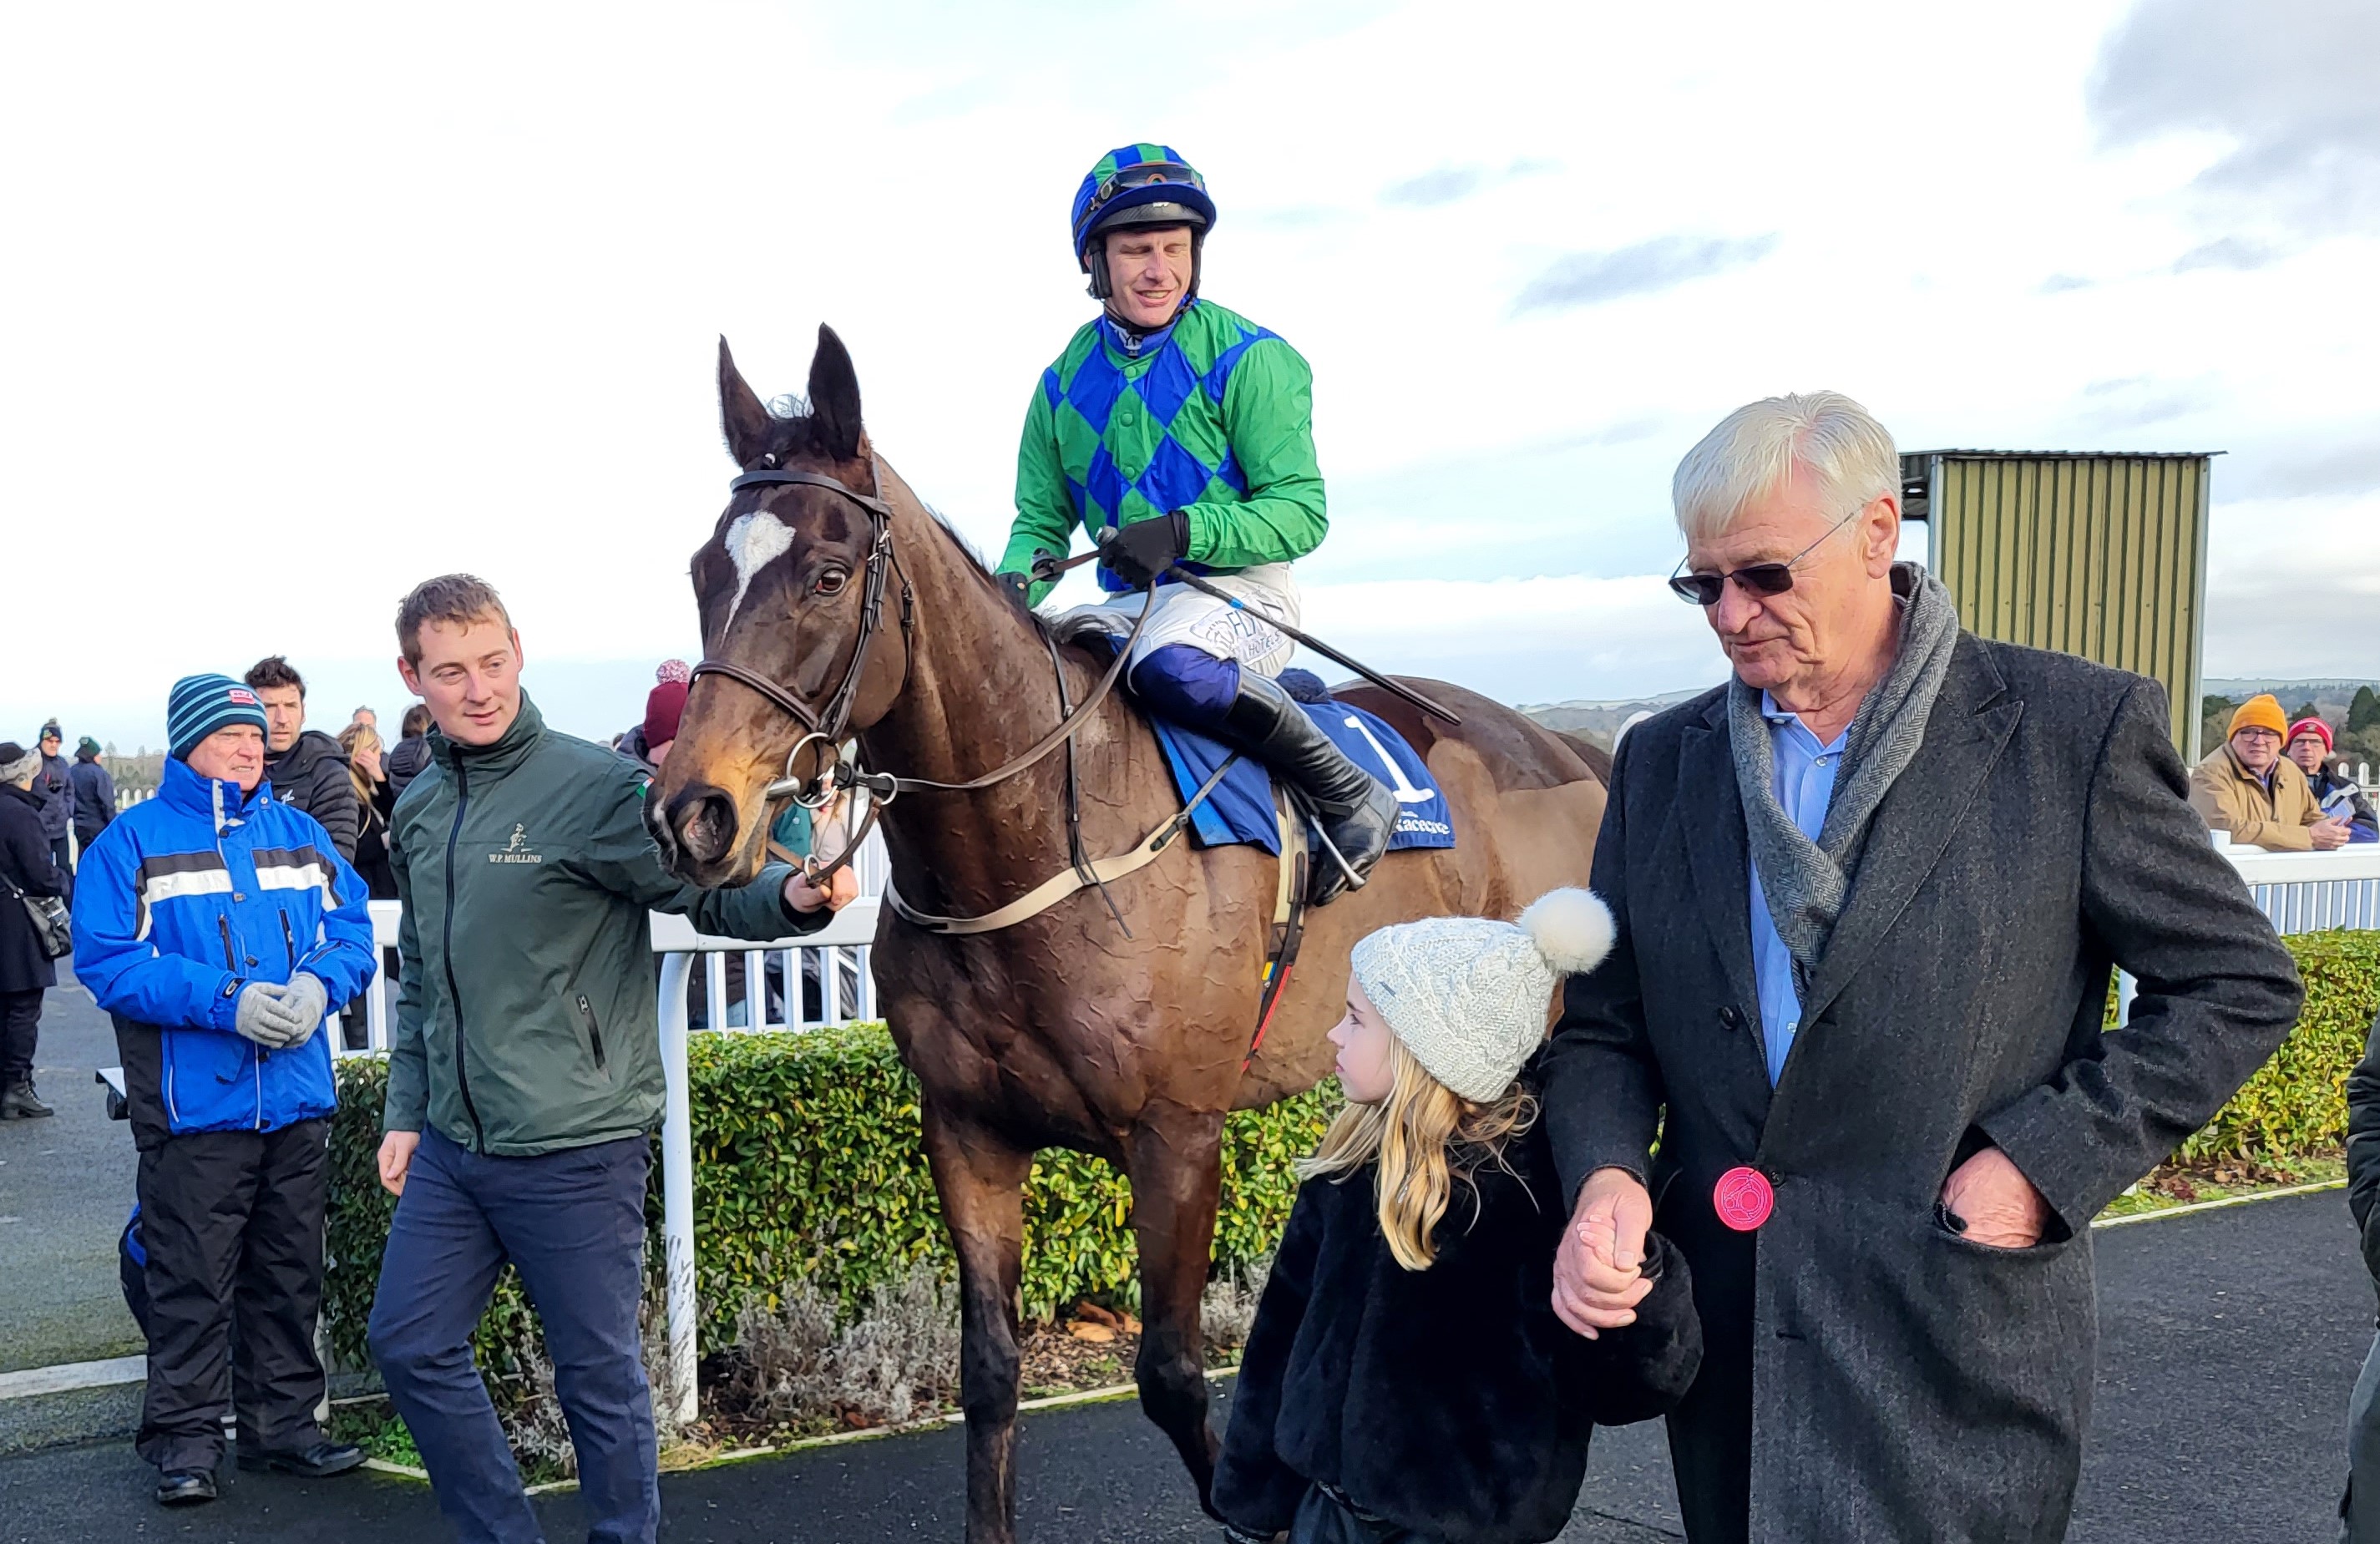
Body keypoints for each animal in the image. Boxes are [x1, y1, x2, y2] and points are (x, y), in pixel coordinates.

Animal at [651, 326, 1608, 1541]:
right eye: (702, 571)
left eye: (826, 574)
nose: (694, 814)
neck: (1030, 852)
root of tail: (1566, 749)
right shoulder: (966, 1128)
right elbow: (989, 1372)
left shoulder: (1178, 1134)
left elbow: (1169, 1374)